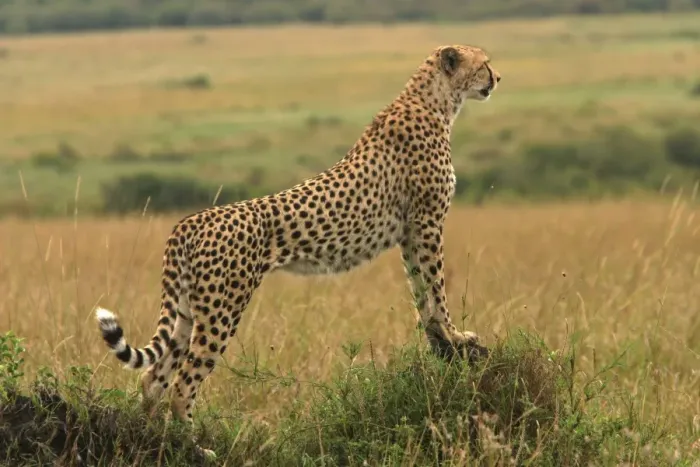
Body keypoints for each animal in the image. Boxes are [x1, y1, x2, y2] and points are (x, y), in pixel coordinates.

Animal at [95, 44, 501, 459]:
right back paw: (196, 448)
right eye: (484, 64)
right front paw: (455, 335)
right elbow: (437, 286)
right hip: (221, 312)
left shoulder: (410, 232)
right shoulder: (427, 222)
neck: (436, 100)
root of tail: (189, 221)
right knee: (182, 385)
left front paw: (438, 339)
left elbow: (420, 290)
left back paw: (153, 441)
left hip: (188, 313)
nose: (497, 78)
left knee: (152, 379)